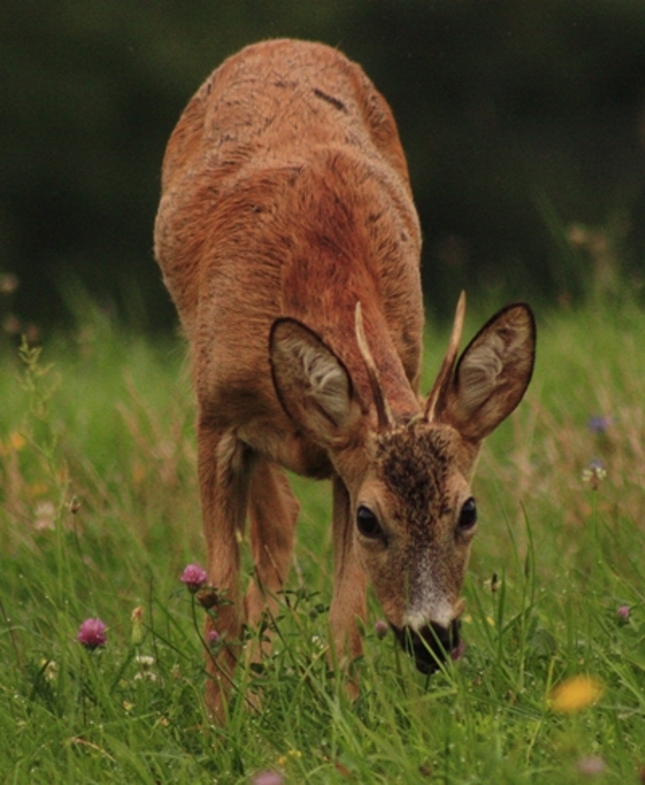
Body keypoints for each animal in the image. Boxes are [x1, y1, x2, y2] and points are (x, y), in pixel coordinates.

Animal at [153, 38, 536, 716]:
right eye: (371, 519)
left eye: (468, 511)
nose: (432, 639)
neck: (320, 266)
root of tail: (282, 42)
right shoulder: (216, 418)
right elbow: (219, 601)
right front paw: (215, 726)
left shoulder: (344, 451)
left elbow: (346, 615)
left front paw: (349, 716)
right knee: (270, 537)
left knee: (278, 530)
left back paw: (262, 689)